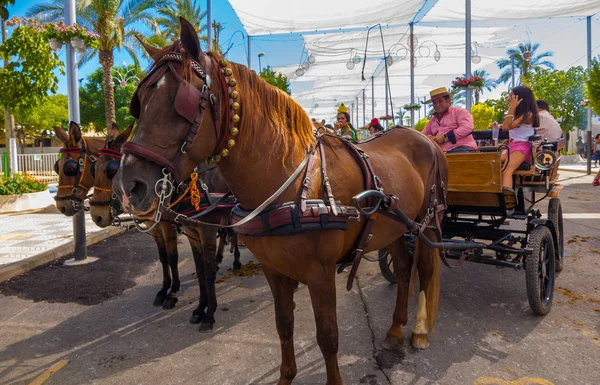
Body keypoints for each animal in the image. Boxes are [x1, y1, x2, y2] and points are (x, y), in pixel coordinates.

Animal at [91, 121, 241, 328]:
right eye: (94, 168)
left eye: (111, 170)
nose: (96, 215)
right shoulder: (179, 229)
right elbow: (180, 262)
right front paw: (171, 293)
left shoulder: (190, 228)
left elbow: (179, 259)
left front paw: (200, 308)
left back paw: (236, 261)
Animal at [116, 18, 446, 384]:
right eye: (139, 102)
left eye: (179, 101)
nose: (129, 186)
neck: (292, 186)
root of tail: (422, 137)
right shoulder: (273, 270)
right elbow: (284, 326)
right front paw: (286, 376)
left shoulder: (320, 273)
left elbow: (328, 337)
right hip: (393, 227)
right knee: (402, 269)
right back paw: (395, 328)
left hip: (426, 223)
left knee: (424, 269)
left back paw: (419, 330)